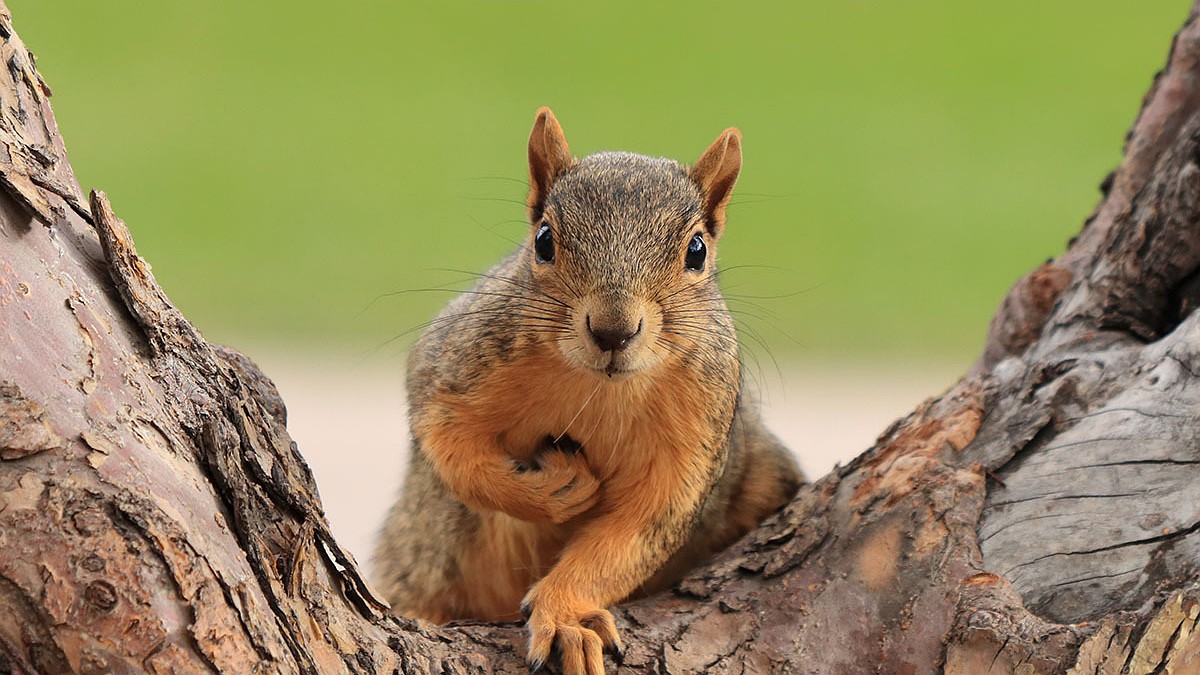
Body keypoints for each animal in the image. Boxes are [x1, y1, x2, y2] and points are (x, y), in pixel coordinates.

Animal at [372, 107, 806, 667]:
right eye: (543, 240)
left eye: (697, 250)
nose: (613, 331)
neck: (598, 389)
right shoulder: (455, 365)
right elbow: (451, 451)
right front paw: (551, 490)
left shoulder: (696, 437)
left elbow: (634, 534)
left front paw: (566, 617)